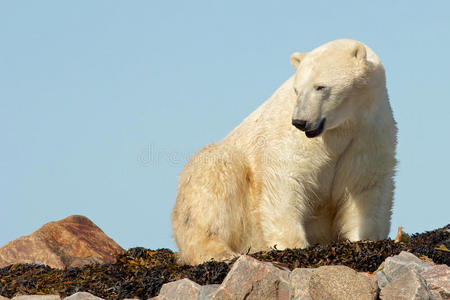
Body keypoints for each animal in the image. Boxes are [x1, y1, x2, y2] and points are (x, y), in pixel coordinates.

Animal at [171, 39, 396, 264]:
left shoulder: (368, 134)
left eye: (320, 86)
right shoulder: (297, 139)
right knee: (212, 177)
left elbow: (365, 185)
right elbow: (287, 179)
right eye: (297, 90)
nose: (300, 121)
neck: (341, 127)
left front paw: (364, 240)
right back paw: (219, 252)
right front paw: (293, 244)